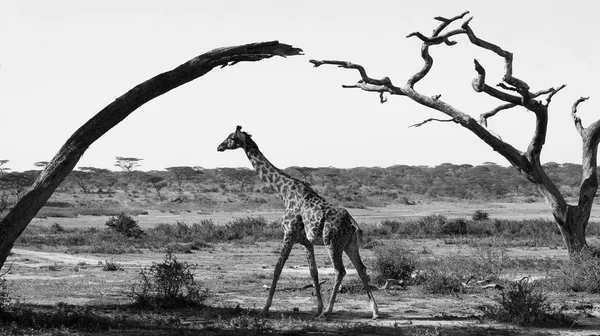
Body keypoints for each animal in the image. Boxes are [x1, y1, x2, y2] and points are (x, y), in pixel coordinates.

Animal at [217, 124, 380, 318]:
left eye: (231, 137)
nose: (219, 147)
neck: (283, 193)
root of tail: (352, 222)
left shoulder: (289, 234)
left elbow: (277, 268)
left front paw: (265, 308)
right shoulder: (305, 241)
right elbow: (313, 272)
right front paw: (317, 308)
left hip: (332, 242)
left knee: (340, 270)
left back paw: (328, 312)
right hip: (350, 244)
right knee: (361, 268)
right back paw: (374, 311)